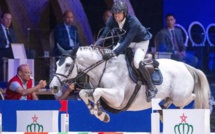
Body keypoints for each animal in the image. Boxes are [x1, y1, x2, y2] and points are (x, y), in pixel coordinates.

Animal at [48, 45, 210, 122]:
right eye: (56, 63)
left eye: (68, 65)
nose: (53, 87)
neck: (103, 69)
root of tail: (186, 66)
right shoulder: (96, 91)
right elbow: (84, 93)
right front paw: (99, 113)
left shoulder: (117, 98)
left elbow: (97, 92)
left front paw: (100, 113)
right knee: (170, 101)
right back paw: (162, 110)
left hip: (181, 96)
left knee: (192, 97)